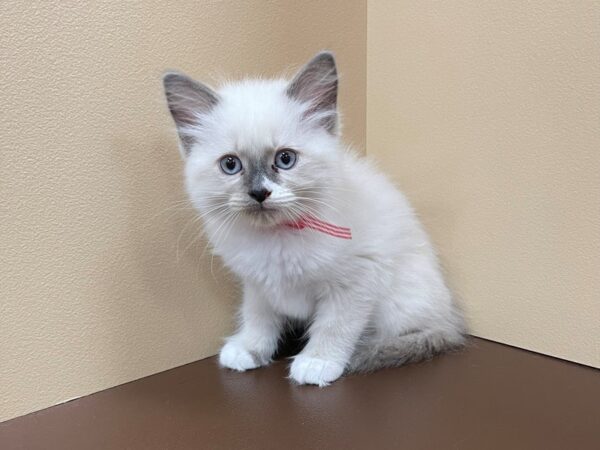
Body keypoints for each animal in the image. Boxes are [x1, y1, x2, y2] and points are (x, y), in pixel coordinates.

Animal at [162, 51, 466, 384]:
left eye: (285, 159)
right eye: (231, 165)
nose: (259, 193)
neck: (277, 238)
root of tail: (450, 316)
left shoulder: (356, 279)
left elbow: (334, 326)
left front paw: (316, 362)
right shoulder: (257, 284)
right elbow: (257, 318)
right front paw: (249, 348)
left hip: (401, 304)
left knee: (424, 334)